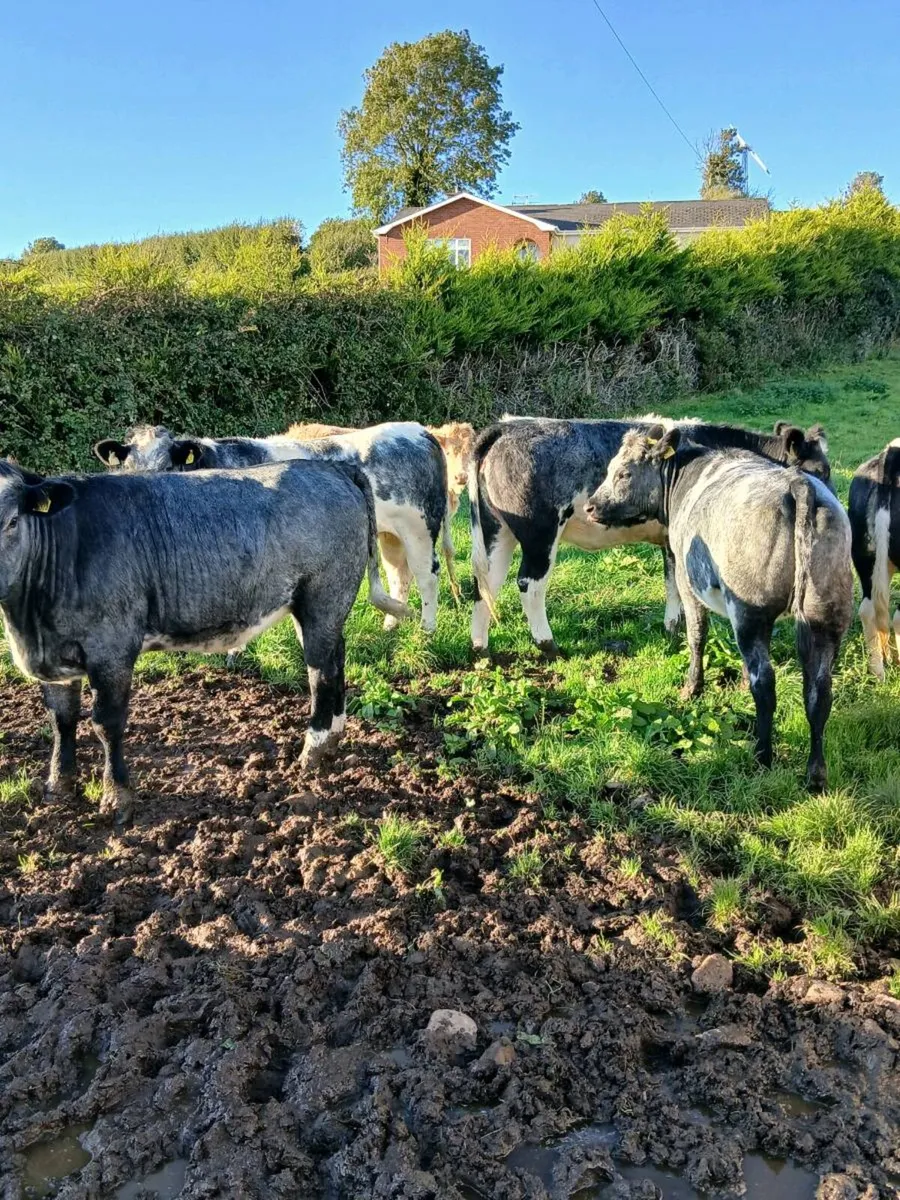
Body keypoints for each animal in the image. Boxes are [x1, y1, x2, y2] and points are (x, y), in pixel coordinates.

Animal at [0, 457, 410, 822]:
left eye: (12, 520)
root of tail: (329, 466)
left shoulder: (112, 650)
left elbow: (105, 723)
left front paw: (117, 799)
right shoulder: (56, 658)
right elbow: (62, 719)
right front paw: (58, 785)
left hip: (324, 595)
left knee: (320, 670)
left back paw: (314, 748)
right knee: (336, 657)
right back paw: (334, 736)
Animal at [95, 422, 456, 631]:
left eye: (168, 464)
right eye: (127, 465)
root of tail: (421, 432)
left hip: (421, 527)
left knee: (427, 575)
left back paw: (427, 630)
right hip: (389, 533)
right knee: (399, 575)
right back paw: (391, 626)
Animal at [468, 415, 833, 657]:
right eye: (821, 470)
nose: (830, 499)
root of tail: (507, 425)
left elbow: (671, 579)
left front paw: (672, 627)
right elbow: (678, 583)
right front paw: (677, 627)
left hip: (497, 530)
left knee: (486, 581)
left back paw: (481, 649)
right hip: (540, 533)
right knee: (529, 583)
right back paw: (549, 645)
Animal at [584, 425, 852, 791]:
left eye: (623, 473)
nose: (590, 506)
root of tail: (797, 484)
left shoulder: (687, 581)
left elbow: (697, 635)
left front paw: (691, 689)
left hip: (749, 611)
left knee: (765, 682)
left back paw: (762, 756)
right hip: (826, 613)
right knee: (819, 692)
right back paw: (815, 774)